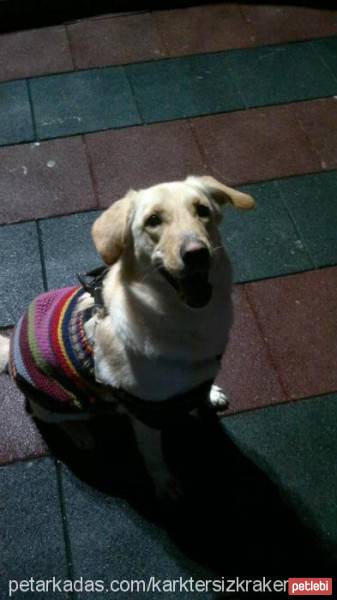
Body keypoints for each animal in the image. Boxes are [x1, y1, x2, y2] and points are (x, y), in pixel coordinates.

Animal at [0, 175, 253, 492]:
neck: (188, 321)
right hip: (58, 401)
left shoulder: (201, 374)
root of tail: (11, 348)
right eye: (153, 220)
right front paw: (165, 485)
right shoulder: (144, 413)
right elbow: (154, 456)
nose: (197, 254)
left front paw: (211, 395)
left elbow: (202, 392)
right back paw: (81, 434)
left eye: (203, 210)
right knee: (46, 415)